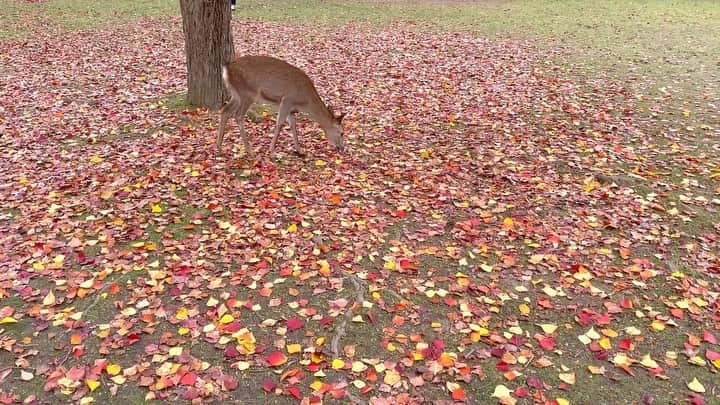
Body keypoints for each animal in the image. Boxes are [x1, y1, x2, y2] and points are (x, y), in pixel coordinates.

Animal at [217, 54, 346, 159]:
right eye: (341, 133)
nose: (342, 148)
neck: (305, 102)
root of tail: (227, 67)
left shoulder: (292, 109)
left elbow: (293, 126)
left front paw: (300, 151)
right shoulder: (287, 100)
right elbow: (280, 123)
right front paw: (272, 152)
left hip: (236, 93)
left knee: (225, 110)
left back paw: (219, 146)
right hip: (247, 92)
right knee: (238, 115)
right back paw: (250, 151)